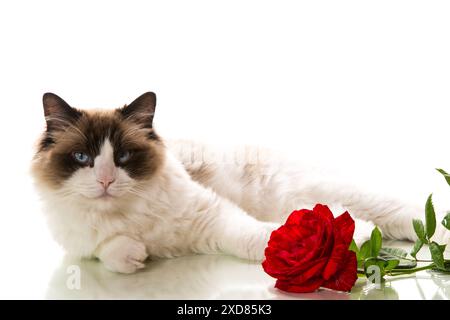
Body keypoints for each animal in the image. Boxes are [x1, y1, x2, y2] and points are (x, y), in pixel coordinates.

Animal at [32, 92, 450, 272]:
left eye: (122, 158)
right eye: (82, 159)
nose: (104, 180)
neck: (124, 215)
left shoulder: (211, 217)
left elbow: (260, 239)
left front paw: (350, 240)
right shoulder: (84, 246)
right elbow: (112, 252)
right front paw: (135, 255)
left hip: (324, 194)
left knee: (405, 214)